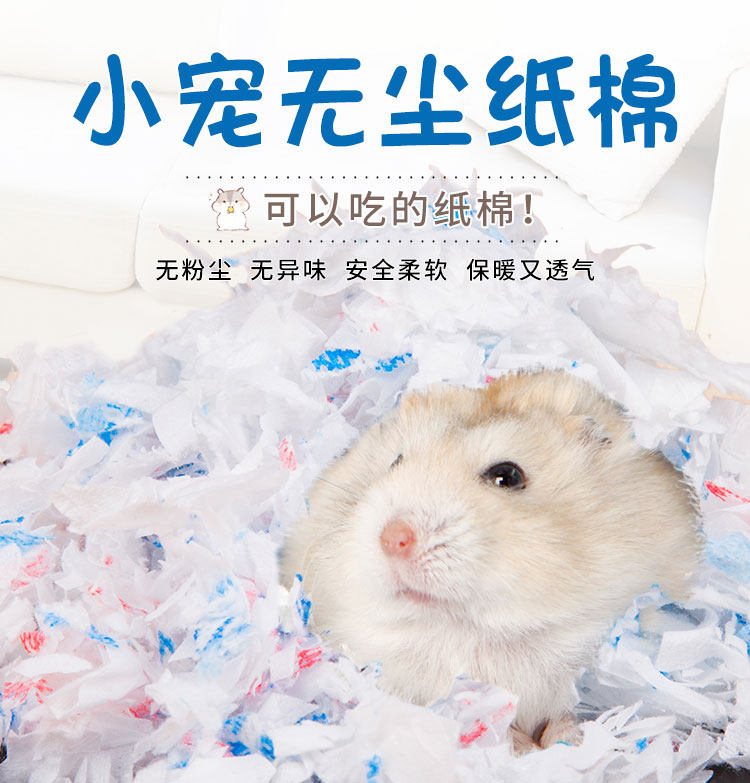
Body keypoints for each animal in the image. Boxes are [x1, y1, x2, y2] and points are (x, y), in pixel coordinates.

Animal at [280, 369, 701, 750]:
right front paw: (519, 745)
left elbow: (566, 716)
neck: (478, 632)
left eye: (507, 476)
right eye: (395, 461)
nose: (393, 538)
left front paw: (567, 741)